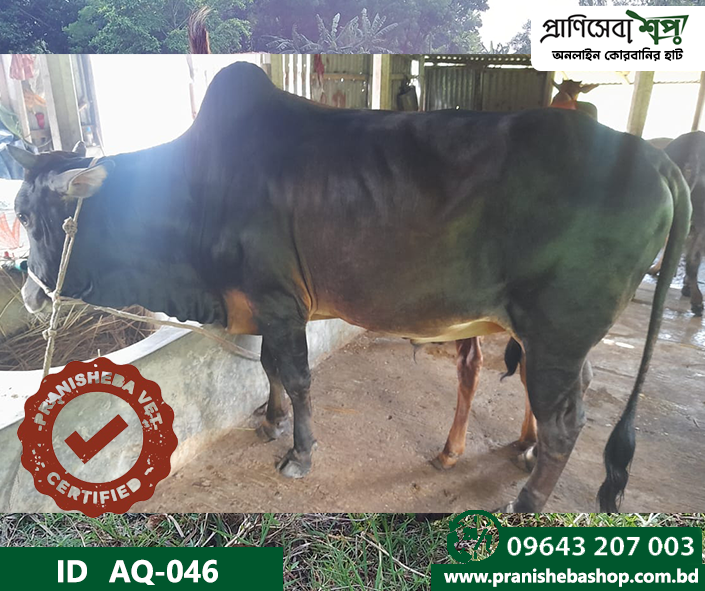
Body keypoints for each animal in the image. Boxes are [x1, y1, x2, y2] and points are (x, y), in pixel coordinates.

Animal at [9, 62, 691, 512]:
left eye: (29, 214)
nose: (31, 295)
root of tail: (654, 158)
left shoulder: (280, 301)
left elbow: (297, 376)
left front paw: (299, 453)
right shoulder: (268, 307)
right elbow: (269, 368)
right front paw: (271, 421)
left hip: (557, 332)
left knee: (567, 421)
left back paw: (525, 503)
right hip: (559, 338)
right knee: (573, 392)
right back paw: (512, 455)